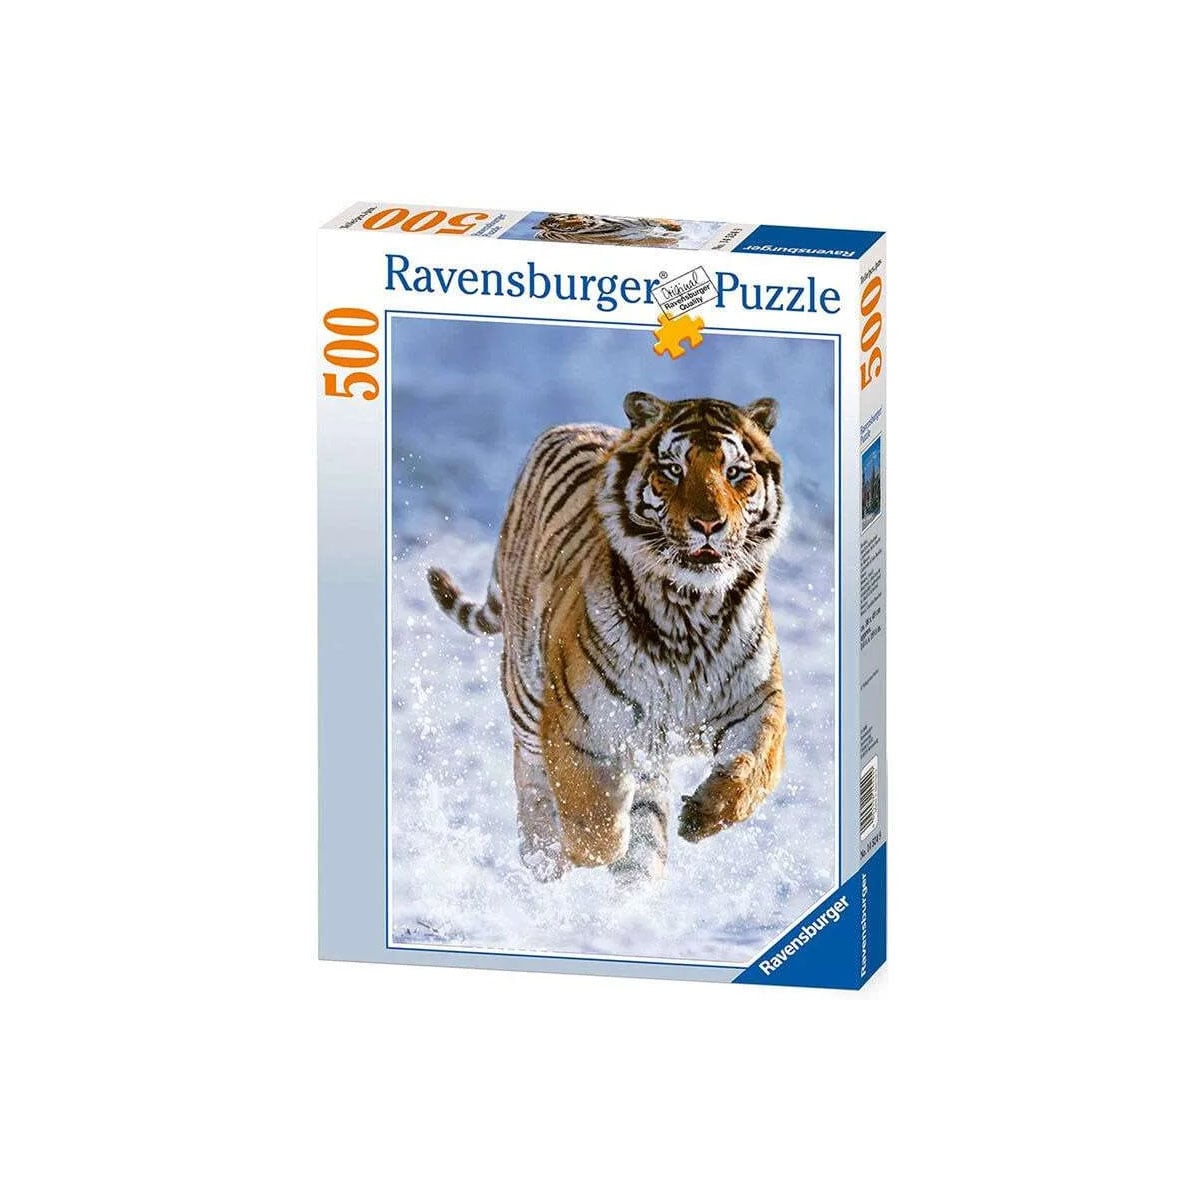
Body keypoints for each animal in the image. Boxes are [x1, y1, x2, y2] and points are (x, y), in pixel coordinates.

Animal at [427, 392, 787, 884]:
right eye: (673, 469)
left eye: (736, 472)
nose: (708, 524)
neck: (691, 610)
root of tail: (568, 426)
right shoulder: (580, 724)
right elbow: (595, 826)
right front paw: (584, 846)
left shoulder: (757, 702)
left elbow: (755, 767)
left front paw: (701, 815)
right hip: (526, 693)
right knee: (530, 775)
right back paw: (544, 857)